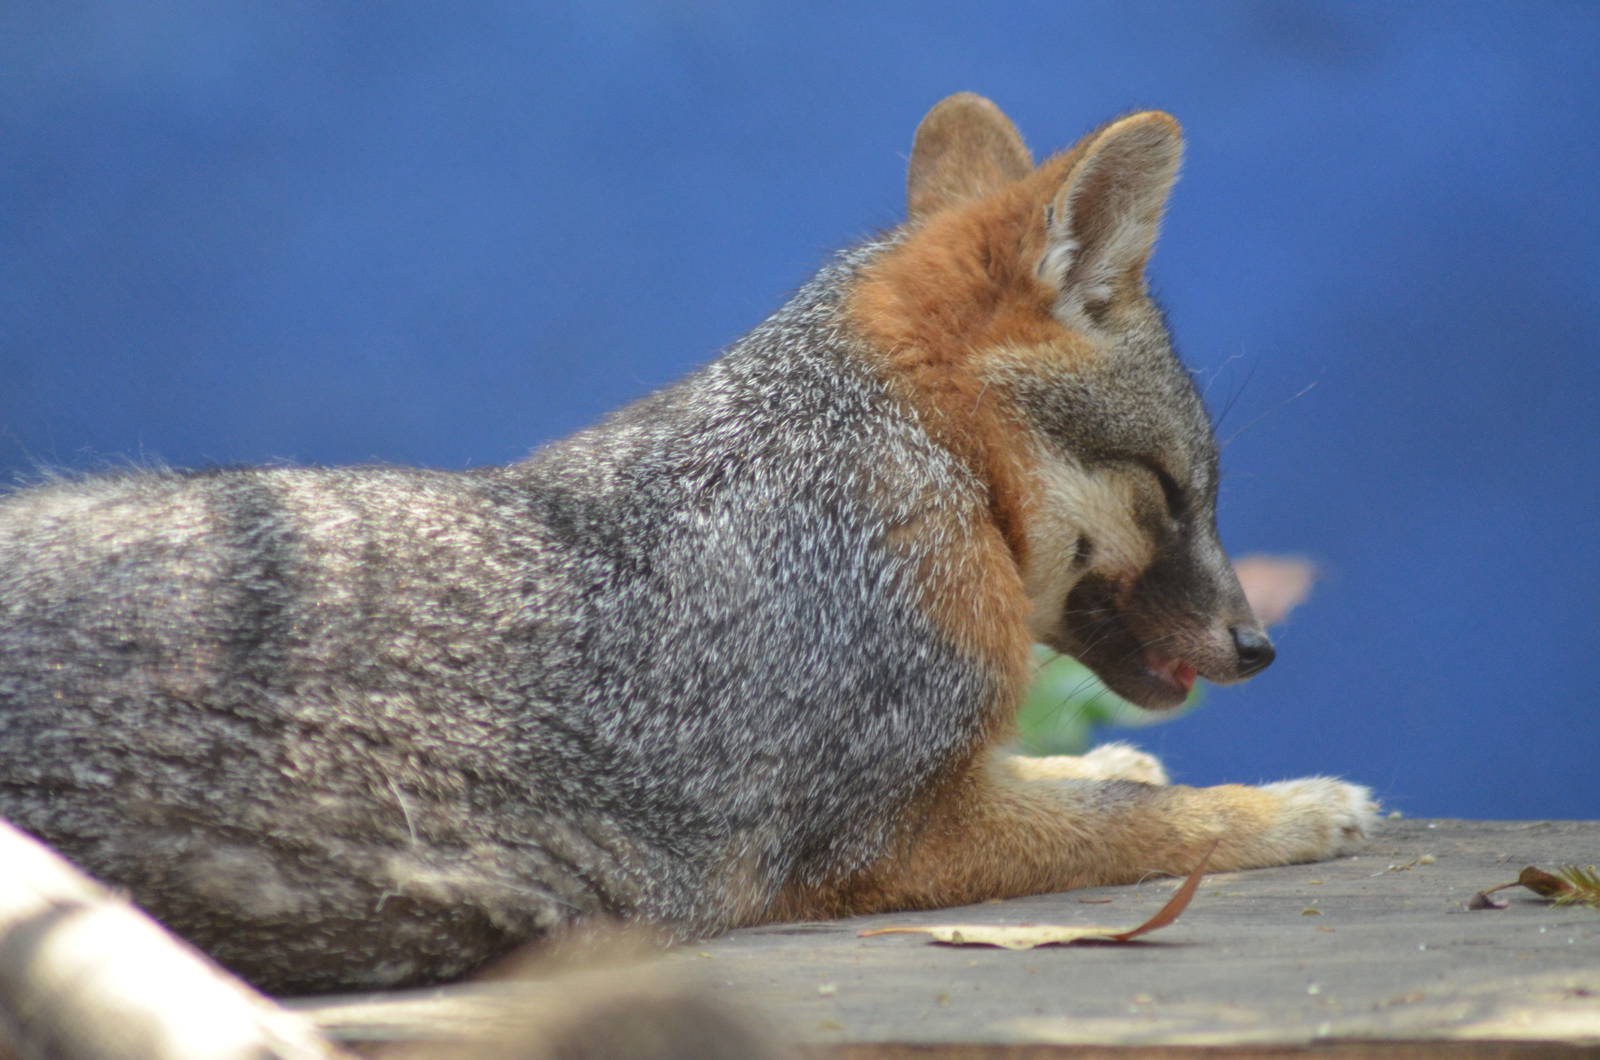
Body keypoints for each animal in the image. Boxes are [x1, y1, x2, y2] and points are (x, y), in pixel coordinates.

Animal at [0, 94, 1375, 994]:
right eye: (1171, 492)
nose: (1258, 646)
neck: (910, 460)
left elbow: (1098, 787)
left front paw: (1126, 763)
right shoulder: (875, 839)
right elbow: (1130, 827)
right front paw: (1287, 808)